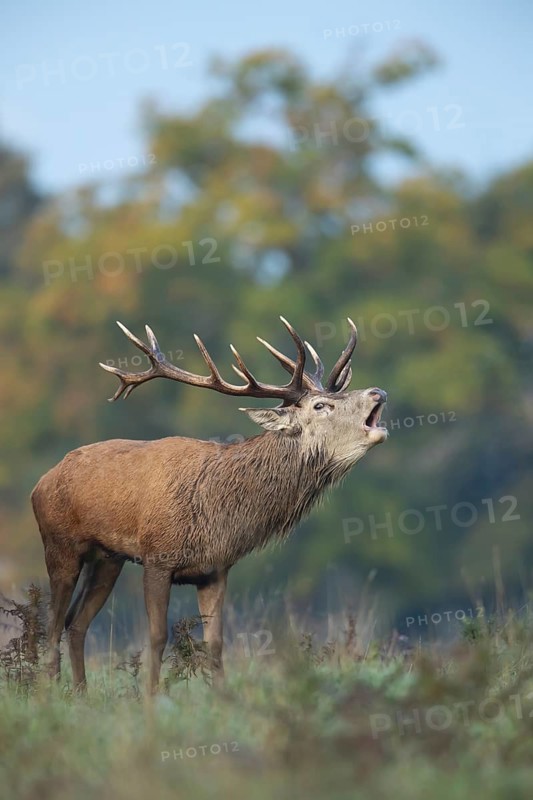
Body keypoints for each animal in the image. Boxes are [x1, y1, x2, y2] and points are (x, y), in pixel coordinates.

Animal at [31, 316, 388, 692]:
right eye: (321, 406)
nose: (378, 392)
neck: (216, 514)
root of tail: (41, 483)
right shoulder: (157, 558)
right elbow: (157, 637)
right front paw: (150, 698)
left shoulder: (215, 571)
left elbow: (215, 644)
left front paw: (221, 696)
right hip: (60, 545)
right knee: (53, 625)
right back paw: (49, 692)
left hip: (107, 560)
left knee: (75, 623)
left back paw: (81, 693)